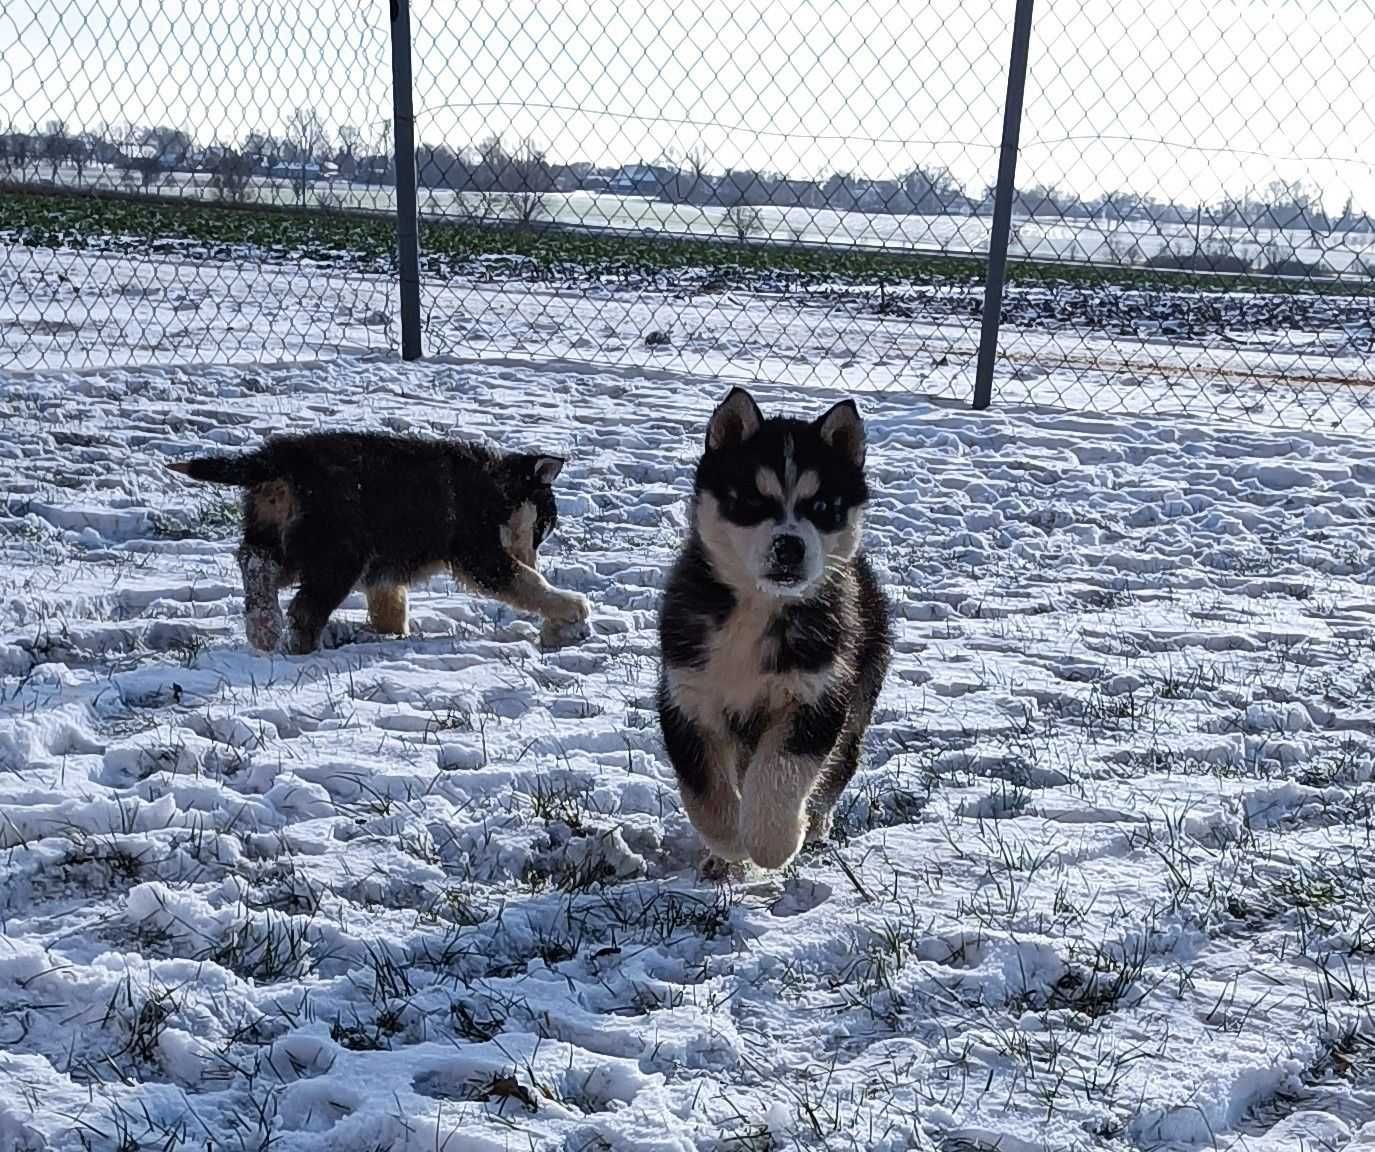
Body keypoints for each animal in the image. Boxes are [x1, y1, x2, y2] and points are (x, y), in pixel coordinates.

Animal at [654, 390, 891, 874]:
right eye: (751, 501)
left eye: (823, 508)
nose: (789, 546)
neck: (757, 607)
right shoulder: (687, 697)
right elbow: (707, 795)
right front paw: (730, 846)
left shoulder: (817, 697)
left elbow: (780, 775)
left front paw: (773, 842)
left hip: (859, 694)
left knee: (840, 764)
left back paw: (814, 823)